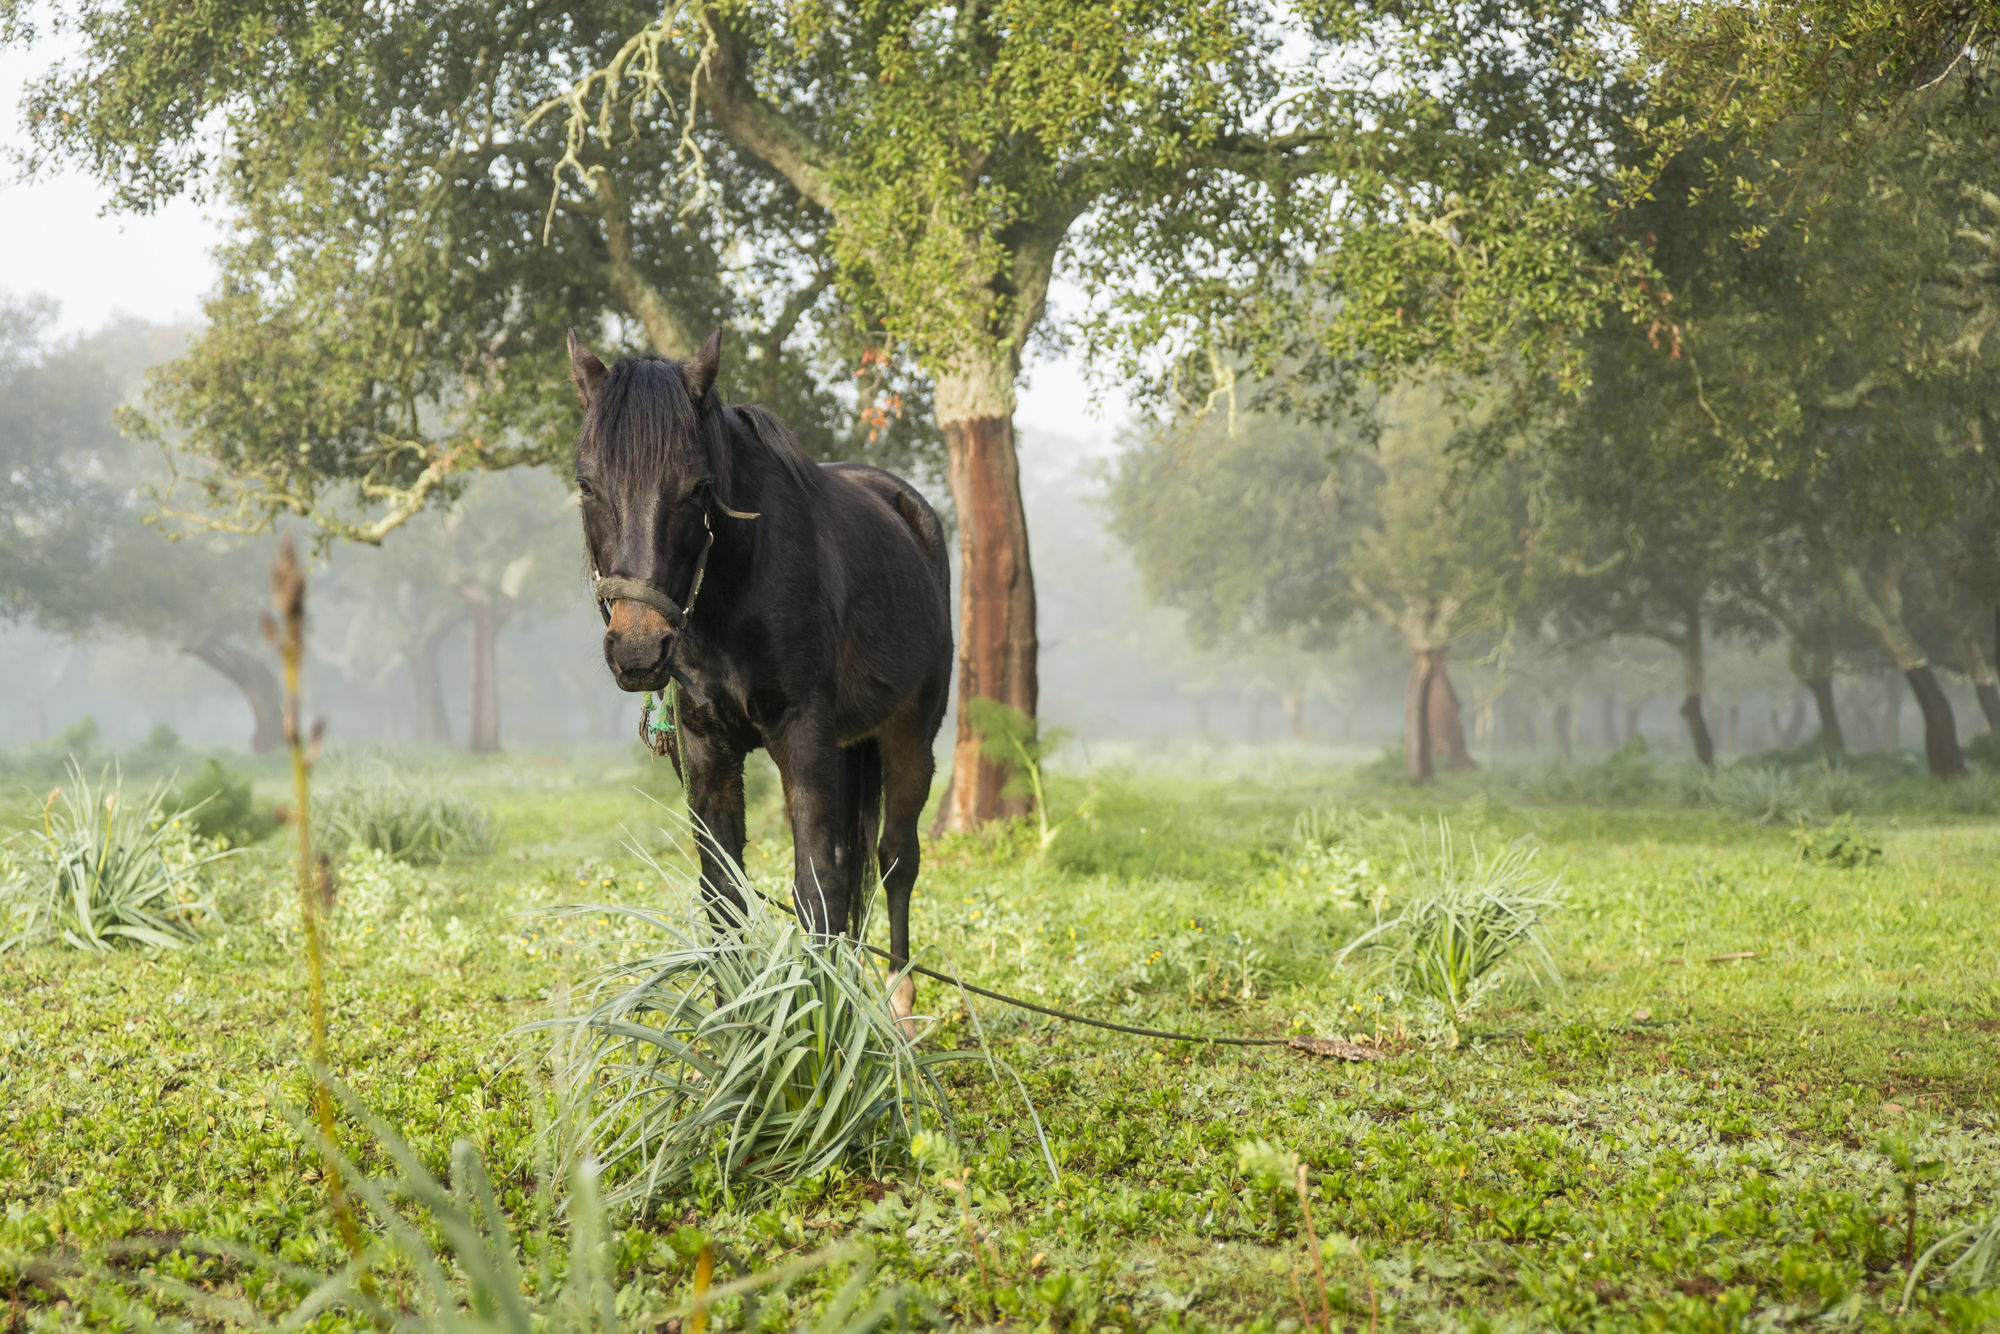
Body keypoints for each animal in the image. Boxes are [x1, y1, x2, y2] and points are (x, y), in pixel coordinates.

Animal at [572, 326, 952, 1012]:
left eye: (698, 487)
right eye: (587, 485)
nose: (639, 649)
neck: (738, 586)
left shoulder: (804, 739)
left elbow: (818, 884)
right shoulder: (706, 747)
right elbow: (724, 893)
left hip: (911, 731)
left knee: (895, 859)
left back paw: (898, 1004)